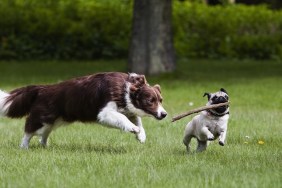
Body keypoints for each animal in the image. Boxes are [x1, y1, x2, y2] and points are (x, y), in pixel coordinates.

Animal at [0, 72, 166, 148]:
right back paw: (24, 147)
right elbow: (123, 119)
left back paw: (45, 147)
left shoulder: (127, 109)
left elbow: (138, 121)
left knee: (43, 135)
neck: (126, 88)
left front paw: (141, 136)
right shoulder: (104, 113)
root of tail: (42, 89)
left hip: (52, 122)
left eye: (160, 100)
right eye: (150, 101)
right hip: (42, 118)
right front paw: (133, 129)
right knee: (29, 131)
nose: (164, 114)